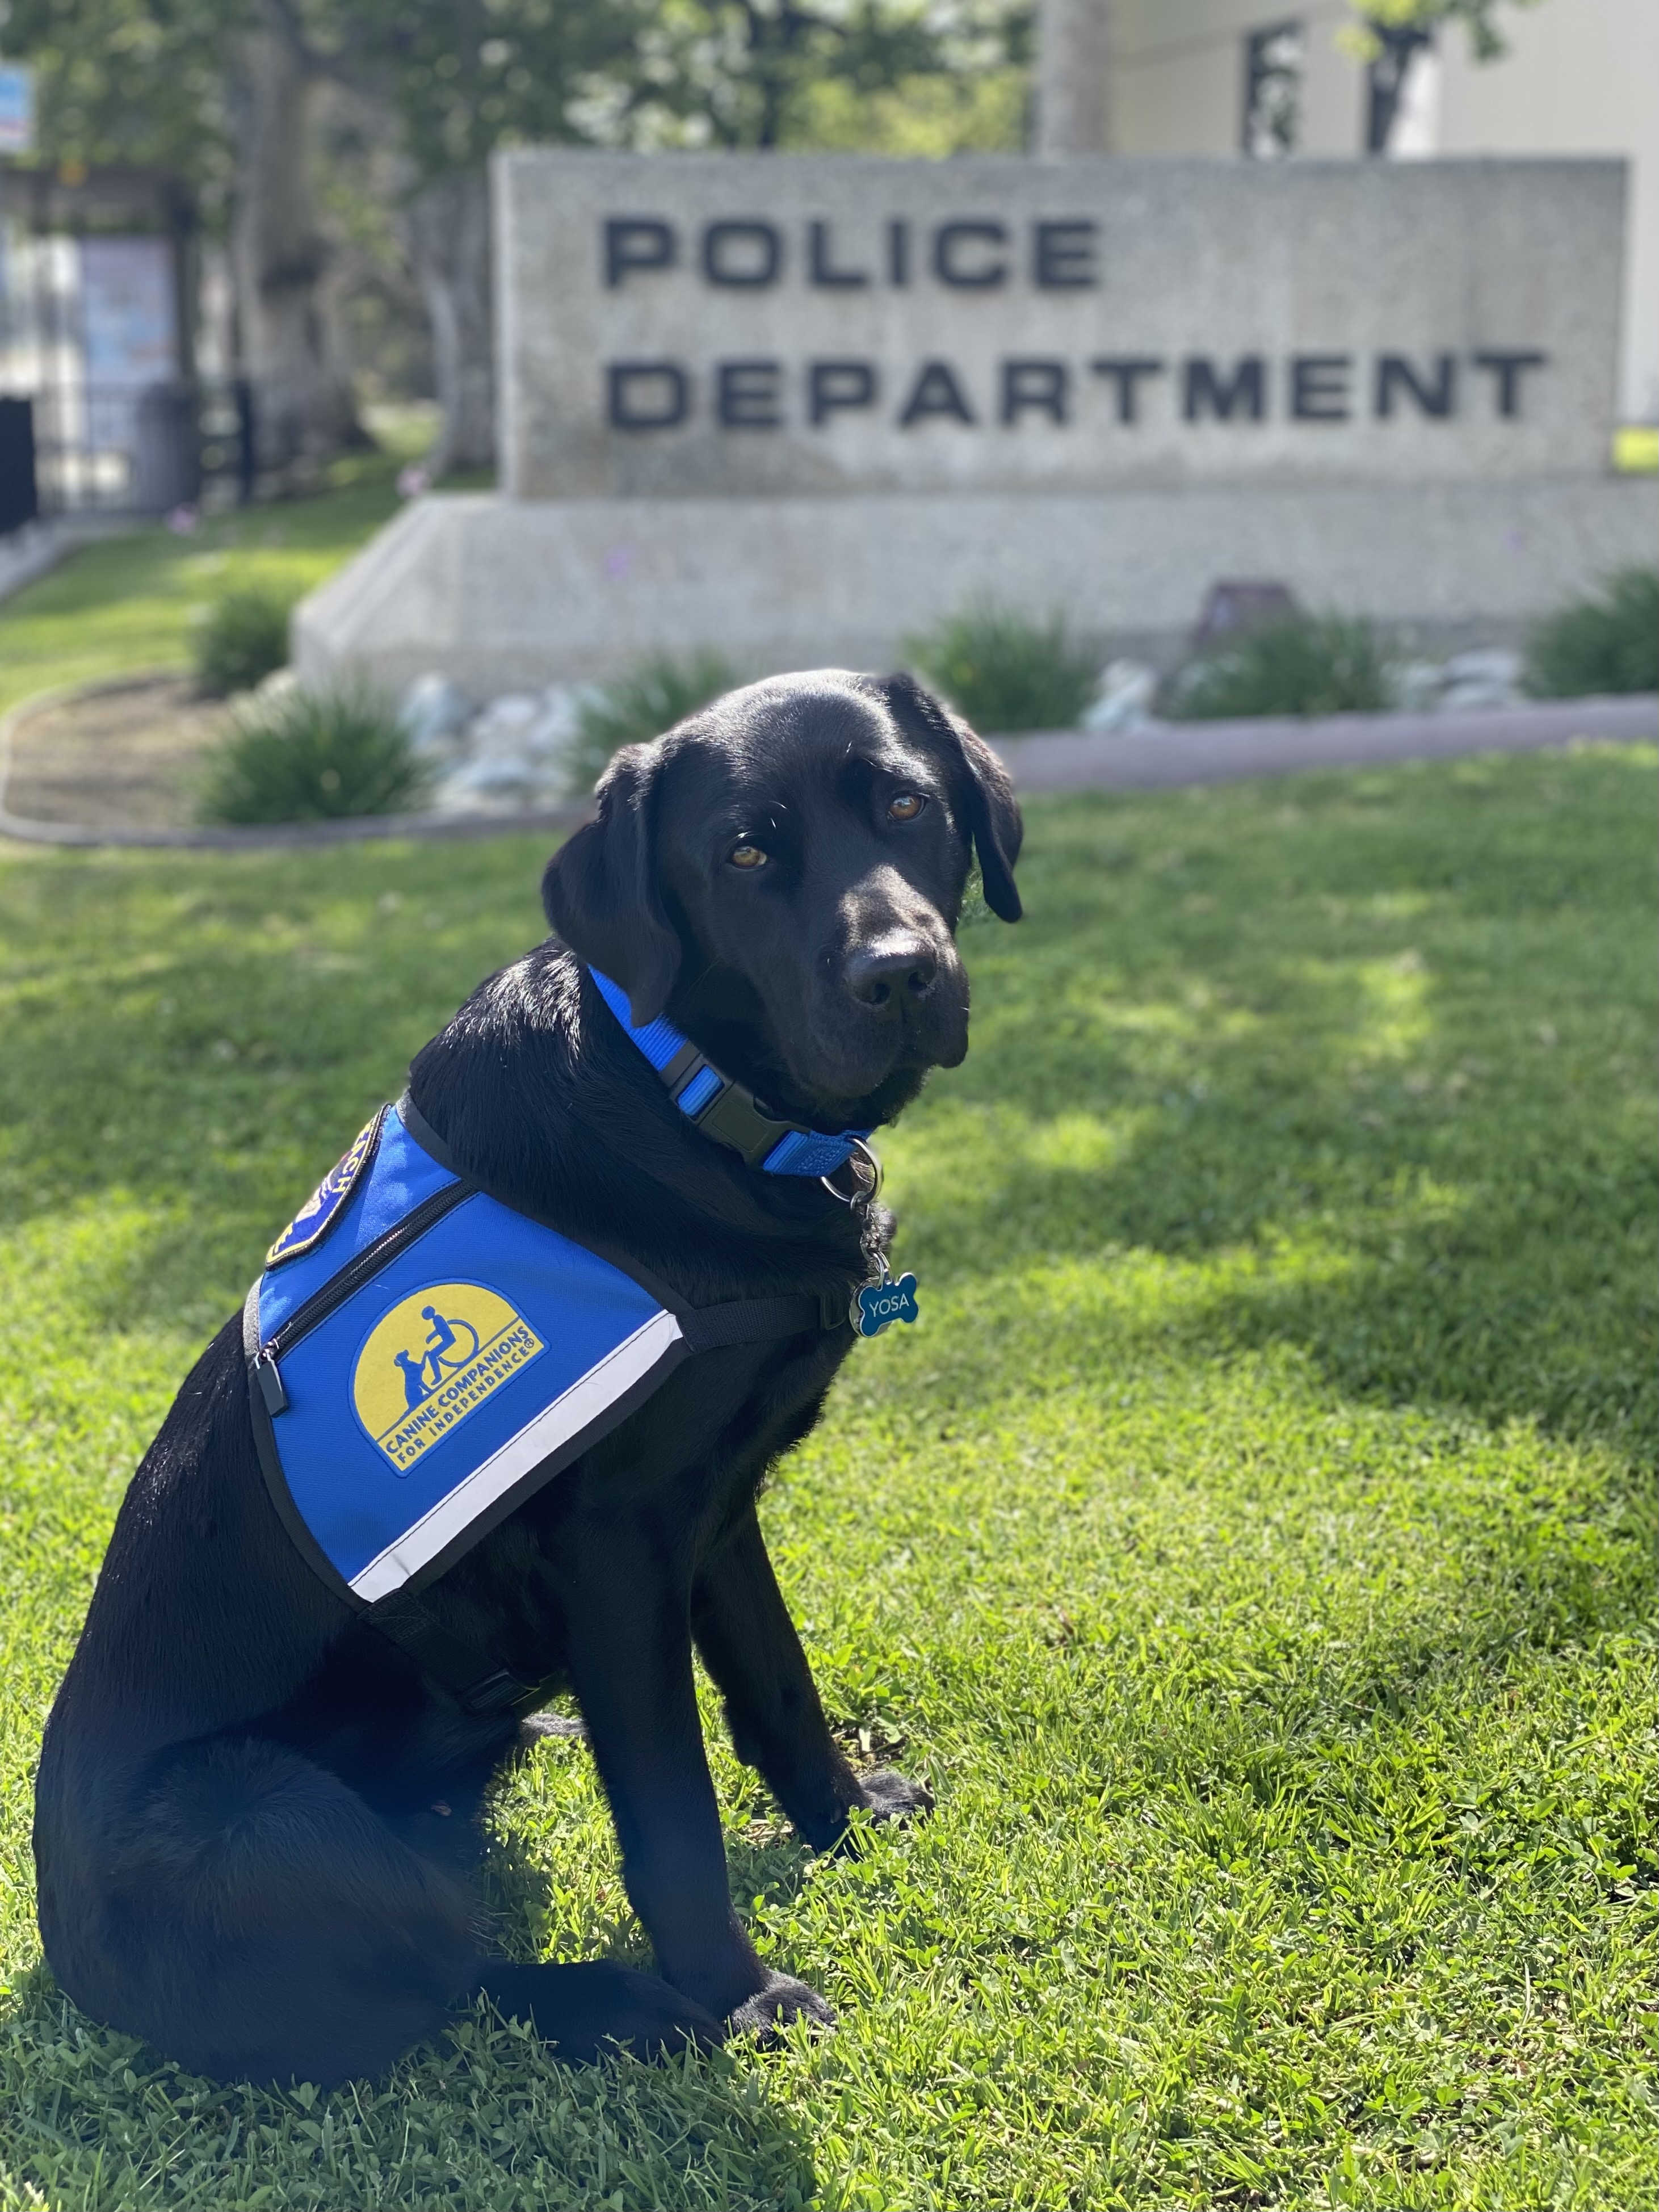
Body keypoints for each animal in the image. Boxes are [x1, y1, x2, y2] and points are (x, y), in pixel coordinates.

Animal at [35, 664, 1026, 2079]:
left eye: (906, 804)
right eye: (744, 853)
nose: (899, 975)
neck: (686, 1097)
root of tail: (61, 1939)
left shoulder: (717, 1509)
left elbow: (778, 1684)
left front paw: (845, 1817)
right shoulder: (617, 1549)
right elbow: (670, 1813)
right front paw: (742, 1998)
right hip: (265, 1813)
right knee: (443, 1978)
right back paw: (629, 2008)